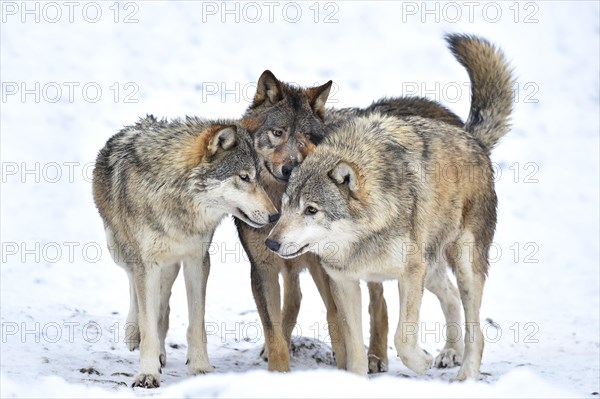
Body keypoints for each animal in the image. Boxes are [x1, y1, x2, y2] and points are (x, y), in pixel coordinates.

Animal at [91, 115, 278, 388]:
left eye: (259, 178)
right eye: (244, 177)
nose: (275, 216)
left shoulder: (197, 260)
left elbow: (196, 323)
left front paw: (200, 367)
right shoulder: (146, 264)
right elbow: (148, 325)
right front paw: (147, 374)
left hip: (169, 265)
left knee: (162, 307)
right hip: (119, 249)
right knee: (134, 287)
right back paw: (133, 332)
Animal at [264, 35, 512, 382]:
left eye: (311, 210)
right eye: (287, 206)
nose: (271, 243)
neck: (362, 237)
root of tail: (470, 136)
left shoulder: (409, 274)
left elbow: (403, 338)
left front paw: (420, 361)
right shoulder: (345, 282)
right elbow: (355, 349)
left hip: (461, 264)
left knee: (476, 326)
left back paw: (465, 376)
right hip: (431, 269)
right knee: (450, 298)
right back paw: (450, 352)